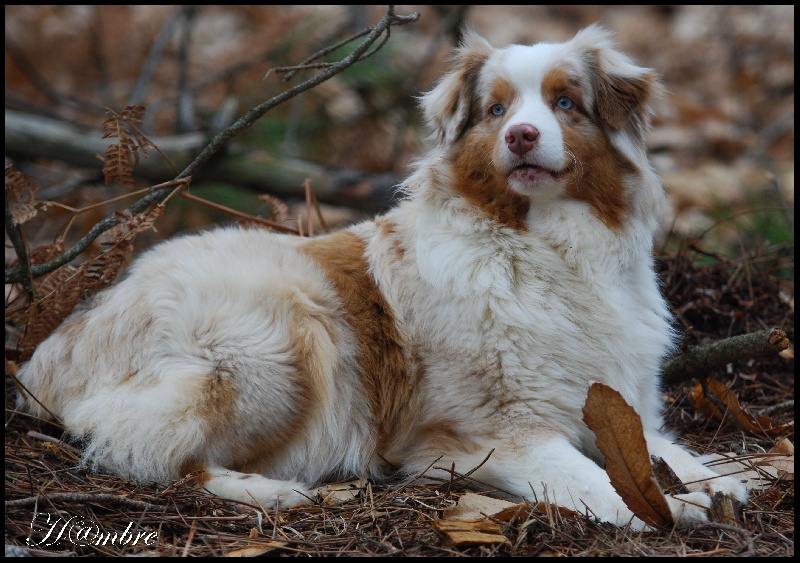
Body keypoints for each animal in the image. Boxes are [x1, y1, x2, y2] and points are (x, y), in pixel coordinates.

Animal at [15, 25, 748, 528]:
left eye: (565, 102)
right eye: (496, 110)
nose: (520, 136)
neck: (546, 248)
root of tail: (50, 350)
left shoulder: (613, 399)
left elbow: (662, 447)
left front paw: (716, 480)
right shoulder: (486, 432)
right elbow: (590, 476)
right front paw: (666, 508)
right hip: (282, 339)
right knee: (149, 455)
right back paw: (275, 491)